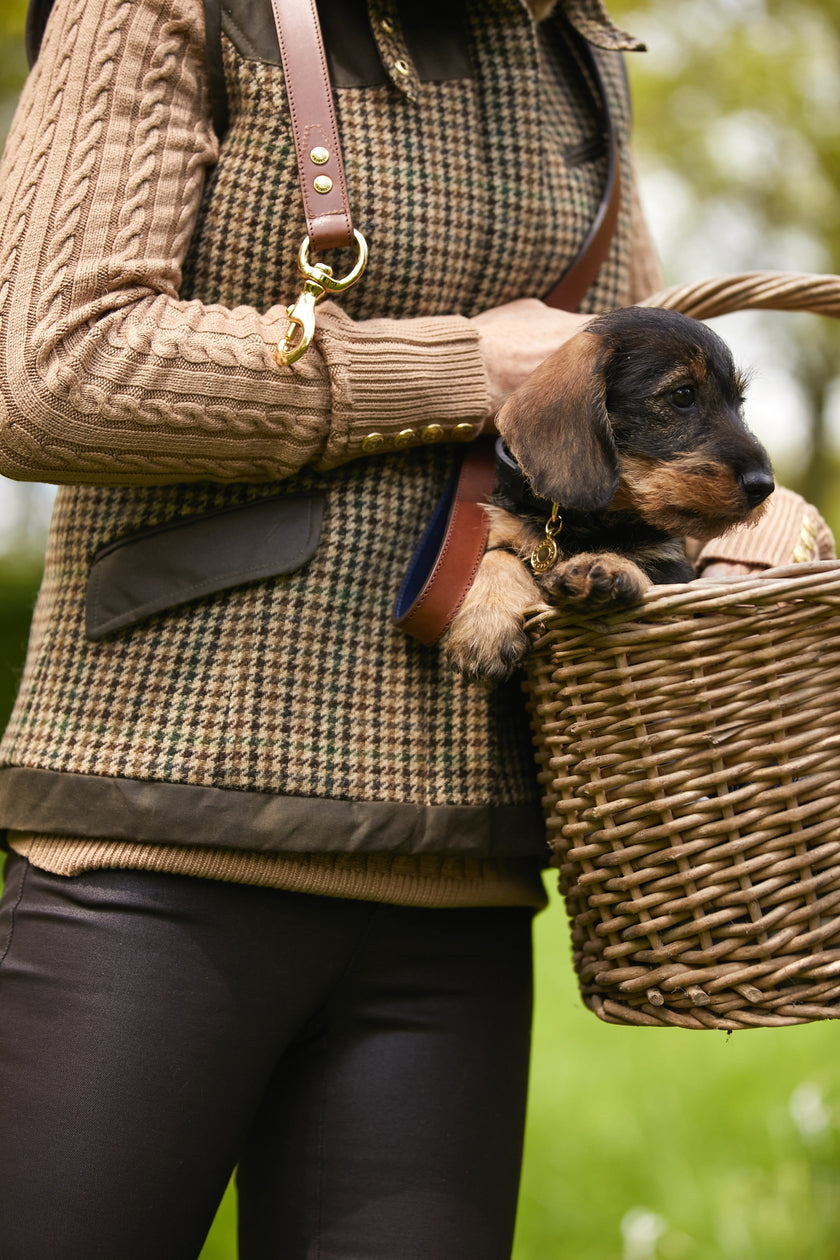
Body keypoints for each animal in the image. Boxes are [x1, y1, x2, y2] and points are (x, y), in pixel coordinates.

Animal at [445, 306, 775, 685]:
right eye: (683, 395)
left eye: (739, 403)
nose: (764, 485)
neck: (591, 520)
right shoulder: (505, 530)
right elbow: (499, 556)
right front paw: (485, 625)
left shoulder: (674, 570)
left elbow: (640, 566)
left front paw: (600, 565)